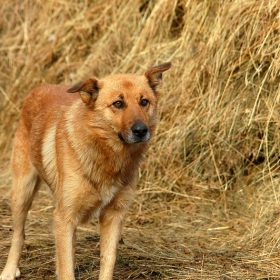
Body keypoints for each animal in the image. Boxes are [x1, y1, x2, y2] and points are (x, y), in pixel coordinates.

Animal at [1, 62, 172, 278]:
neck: (106, 154)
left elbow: (107, 261)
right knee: (19, 234)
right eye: (118, 104)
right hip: (22, 192)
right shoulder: (64, 218)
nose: (141, 130)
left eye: (144, 102)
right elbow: (66, 270)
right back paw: (9, 270)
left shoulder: (113, 217)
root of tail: (42, 86)